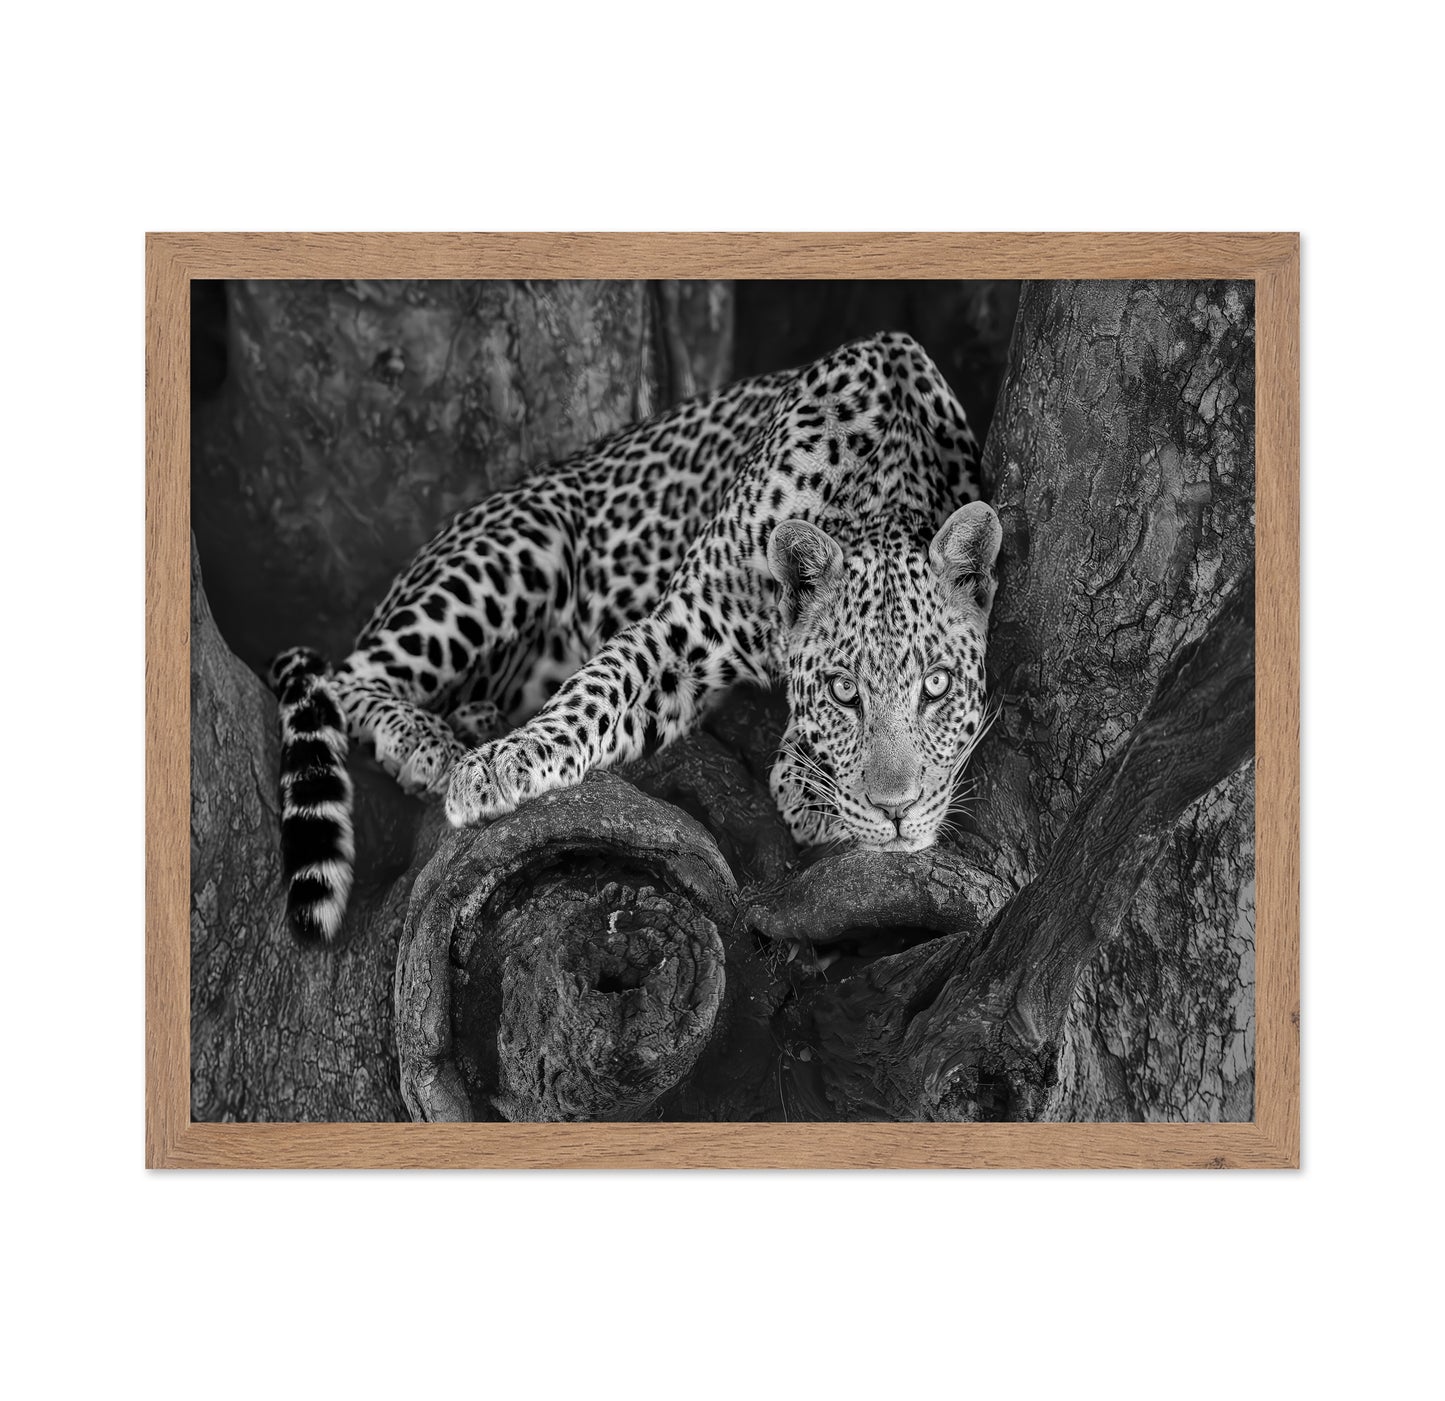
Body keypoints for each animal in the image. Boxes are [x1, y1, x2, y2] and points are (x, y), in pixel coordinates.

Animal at [270, 331, 1002, 943]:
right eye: (844, 692)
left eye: (937, 686)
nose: (897, 812)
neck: (880, 485)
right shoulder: (682, 627)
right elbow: (594, 690)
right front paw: (500, 767)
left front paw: (808, 781)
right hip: (520, 543)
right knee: (343, 677)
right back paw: (427, 743)